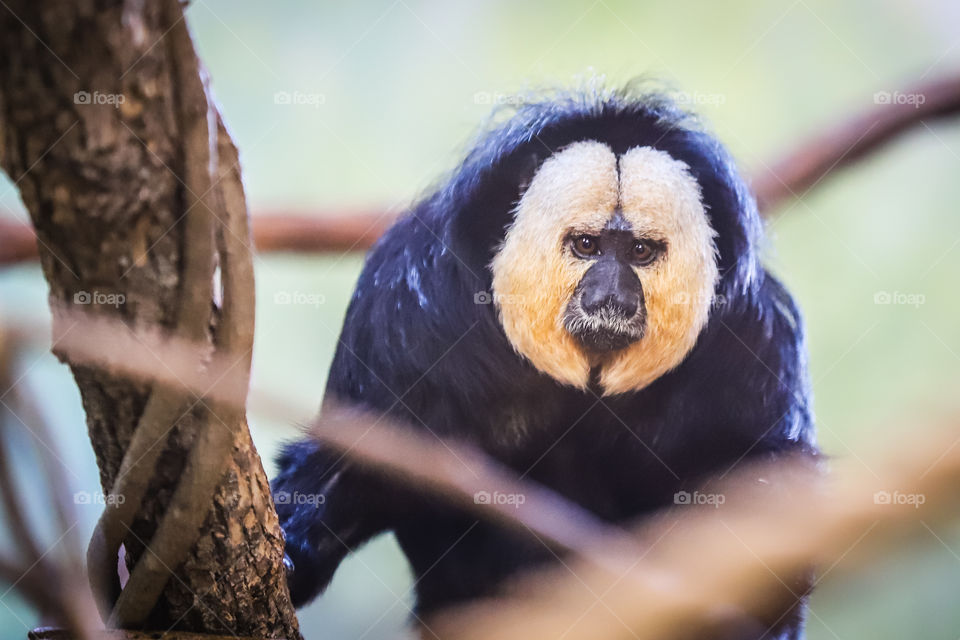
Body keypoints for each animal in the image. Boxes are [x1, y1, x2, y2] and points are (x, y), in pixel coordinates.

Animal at [272, 87, 816, 636]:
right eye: (586, 245)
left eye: (641, 251)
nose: (611, 298)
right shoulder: (407, 308)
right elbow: (362, 456)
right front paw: (294, 553)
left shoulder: (756, 338)